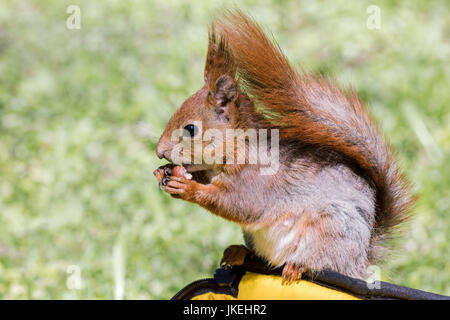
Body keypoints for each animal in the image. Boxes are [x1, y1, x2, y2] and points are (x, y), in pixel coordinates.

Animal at [153, 10, 414, 282]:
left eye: (190, 129)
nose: (159, 152)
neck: (240, 146)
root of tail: (361, 263)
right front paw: (165, 173)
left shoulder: (256, 181)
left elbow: (237, 204)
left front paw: (187, 188)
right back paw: (240, 252)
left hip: (332, 229)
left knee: (323, 262)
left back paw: (298, 266)